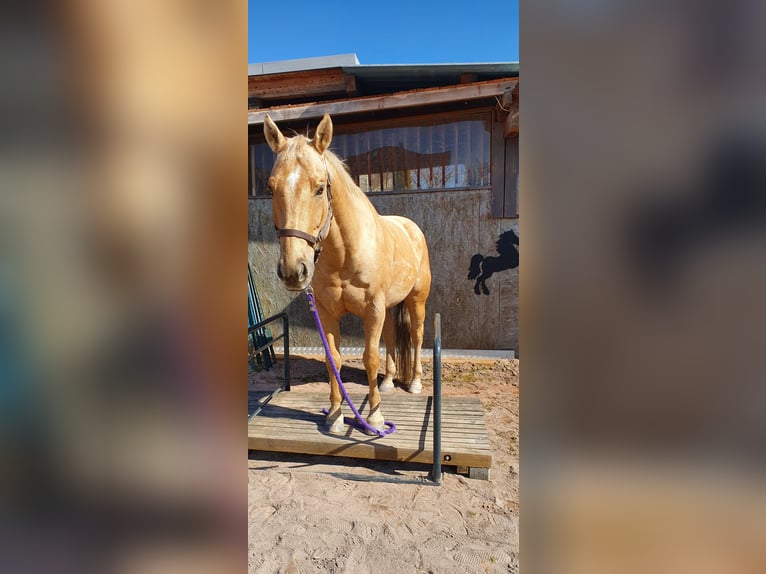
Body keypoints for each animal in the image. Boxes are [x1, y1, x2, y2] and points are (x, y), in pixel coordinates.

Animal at [264, 112, 432, 436]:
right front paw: (335, 416)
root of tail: (412, 228)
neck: (345, 256)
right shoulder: (328, 313)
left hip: (416, 301)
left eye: (319, 188)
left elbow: (369, 358)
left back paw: (415, 383)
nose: (293, 271)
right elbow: (334, 360)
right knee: (392, 337)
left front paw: (375, 419)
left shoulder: (373, 309)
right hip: (390, 307)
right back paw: (389, 382)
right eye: (270, 187)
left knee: (416, 337)